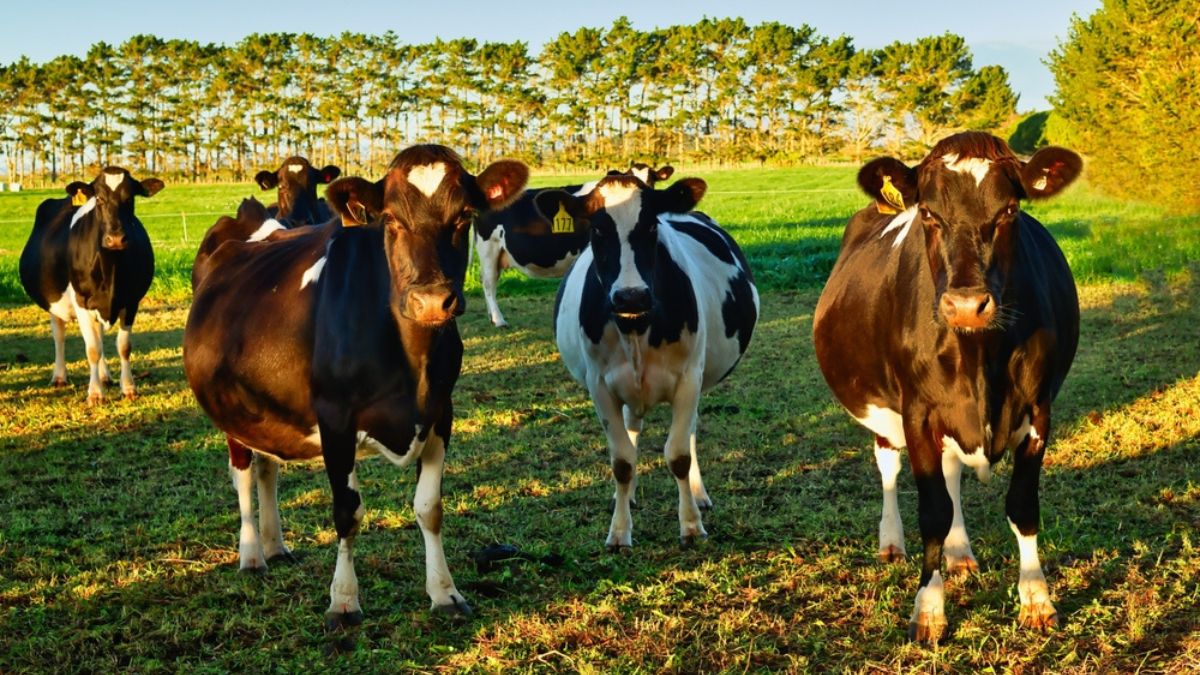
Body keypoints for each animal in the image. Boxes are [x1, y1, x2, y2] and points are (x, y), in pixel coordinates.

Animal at [19, 167, 163, 403]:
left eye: (130, 198)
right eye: (99, 199)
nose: (116, 239)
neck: (111, 269)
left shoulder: (131, 301)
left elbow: (123, 346)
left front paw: (128, 388)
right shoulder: (81, 302)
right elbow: (92, 349)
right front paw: (95, 394)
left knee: (100, 335)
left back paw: (104, 376)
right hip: (54, 302)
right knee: (59, 335)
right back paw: (60, 376)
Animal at [183, 145, 528, 630]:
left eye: (464, 216)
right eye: (392, 220)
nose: (431, 301)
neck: (412, 364)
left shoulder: (441, 411)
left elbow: (430, 508)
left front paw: (444, 593)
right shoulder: (335, 418)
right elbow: (347, 511)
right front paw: (343, 601)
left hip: (266, 407)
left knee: (268, 467)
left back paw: (275, 544)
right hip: (232, 407)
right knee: (244, 471)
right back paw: (252, 554)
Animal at [547, 174, 758, 551]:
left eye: (650, 225)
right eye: (596, 229)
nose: (630, 295)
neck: (636, 326)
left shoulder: (689, 378)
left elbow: (678, 454)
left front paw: (691, 525)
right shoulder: (599, 385)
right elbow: (622, 461)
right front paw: (619, 531)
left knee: (688, 432)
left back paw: (697, 494)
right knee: (633, 429)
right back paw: (628, 496)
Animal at [812, 131, 1082, 642]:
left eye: (1010, 211)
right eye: (929, 214)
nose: (966, 305)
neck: (980, 361)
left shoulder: (1039, 409)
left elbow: (1022, 505)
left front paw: (1036, 598)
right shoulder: (917, 412)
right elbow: (932, 510)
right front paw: (929, 610)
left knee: (952, 468)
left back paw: (959, 553)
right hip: (884, 410)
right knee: (889, 466)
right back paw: (891, 542)